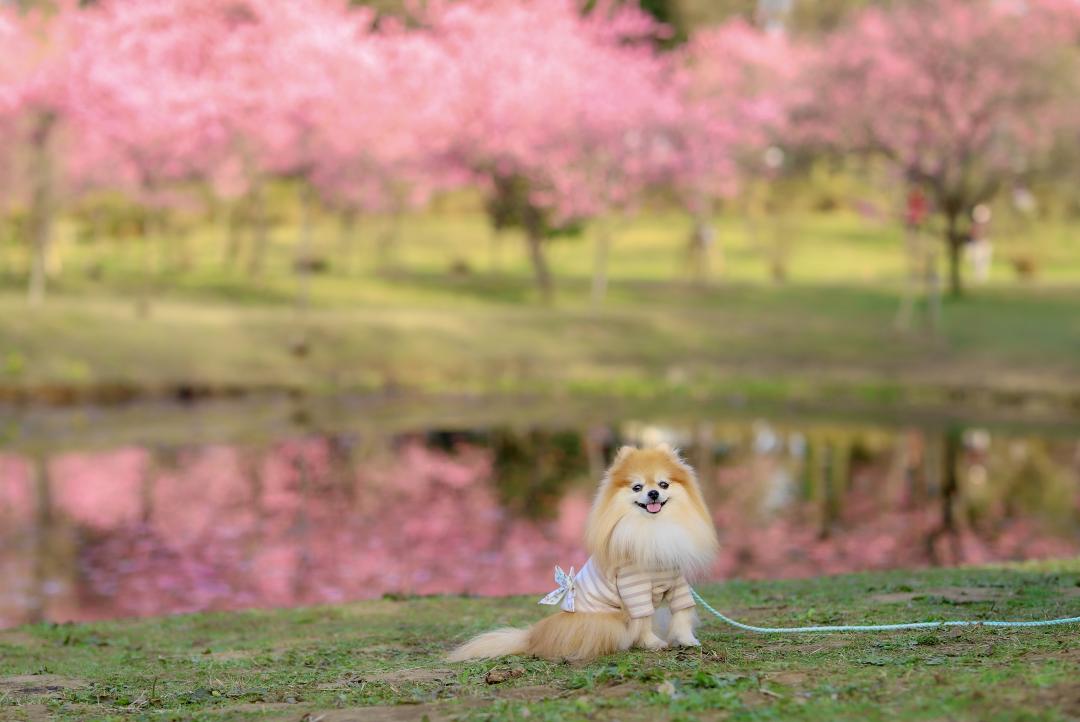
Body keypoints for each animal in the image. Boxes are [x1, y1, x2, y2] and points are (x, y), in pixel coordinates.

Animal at [447, 442, 717, 660]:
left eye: (663, 484)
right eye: (637, 487)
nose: (653, 493)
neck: (653, 528)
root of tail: (535, 637)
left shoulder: (677, 583)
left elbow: (682, 613)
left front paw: (687, 640)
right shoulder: (634, 590)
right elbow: (643, 621)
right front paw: (652, 643)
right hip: (608, 622)